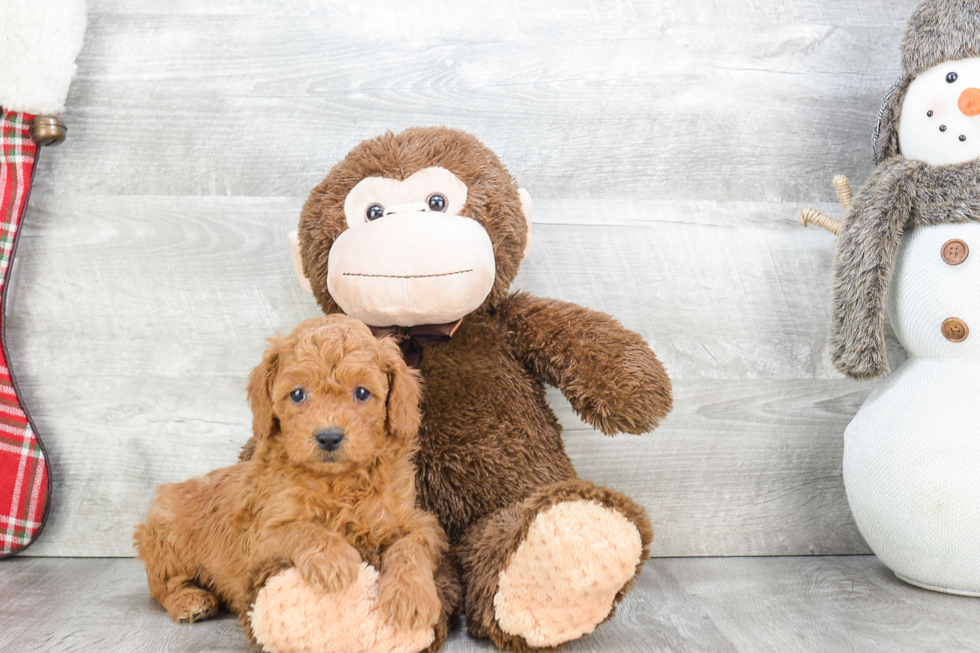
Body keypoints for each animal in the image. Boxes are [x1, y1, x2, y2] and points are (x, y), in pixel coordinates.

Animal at [133, 314, 444, 636]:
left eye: (361, 392)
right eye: (297, 394)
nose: (329, 437)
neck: (337, 481)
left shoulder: (415, 520)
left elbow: (411, 546)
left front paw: (412, 596)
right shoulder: (260, 537)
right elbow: (301, 529)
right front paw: (335, 559)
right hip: (165, 536)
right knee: (162, 584)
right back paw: (190, 601)